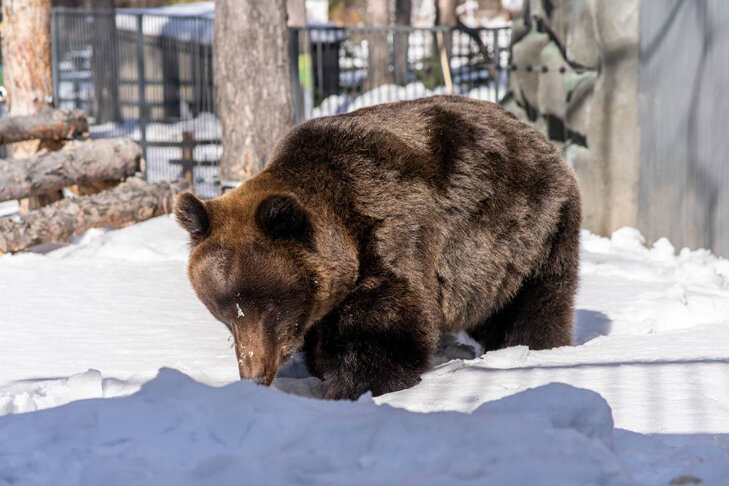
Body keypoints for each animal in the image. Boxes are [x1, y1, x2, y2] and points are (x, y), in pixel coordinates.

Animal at [175, 94, 580, 398]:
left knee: (534, 303)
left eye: (271, 306)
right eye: (226, 312)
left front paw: (352, 385)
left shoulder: (391, 234)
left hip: (530, 233)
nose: (255, 374)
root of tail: (539, 137)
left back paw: (531, 348)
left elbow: (384, 329)